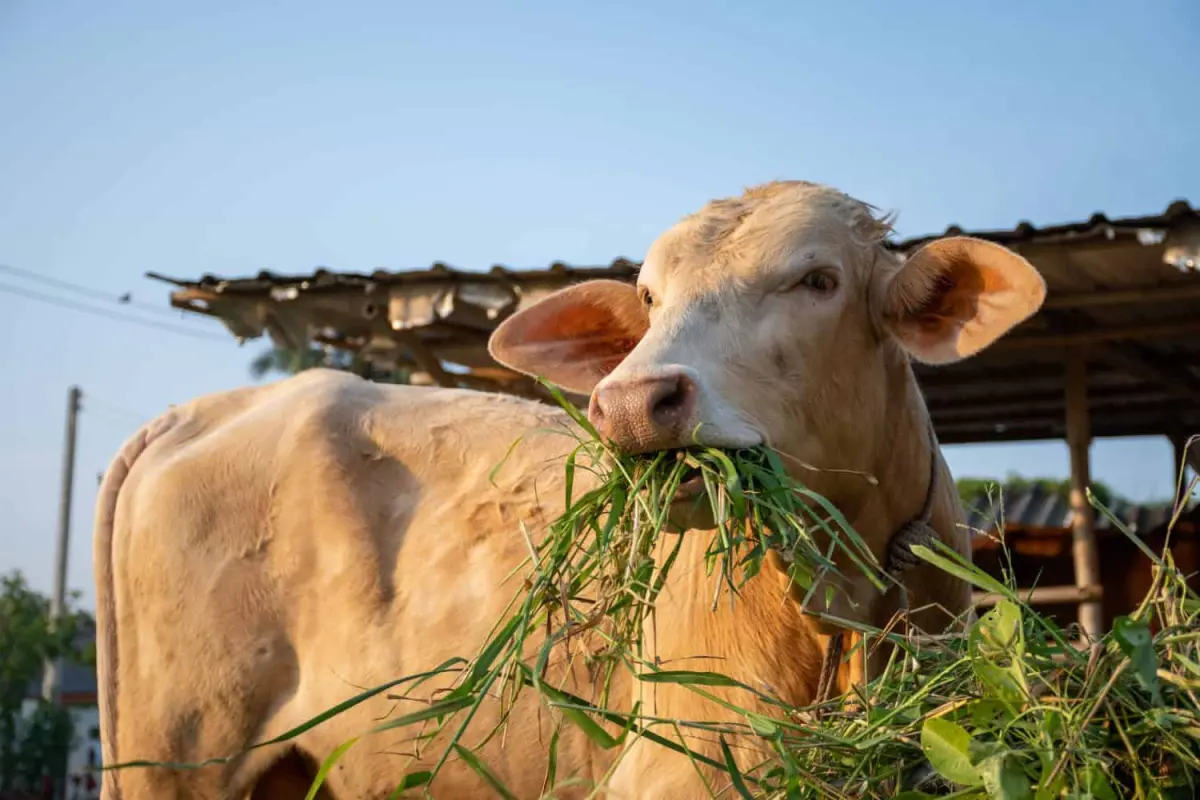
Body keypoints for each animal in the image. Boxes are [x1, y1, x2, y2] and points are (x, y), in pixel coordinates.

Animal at [93, 180, 1046, 799]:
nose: (630, 401)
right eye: (651, 298)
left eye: (818, 280)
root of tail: (199, 412)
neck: (840, 613)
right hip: (174, 756)